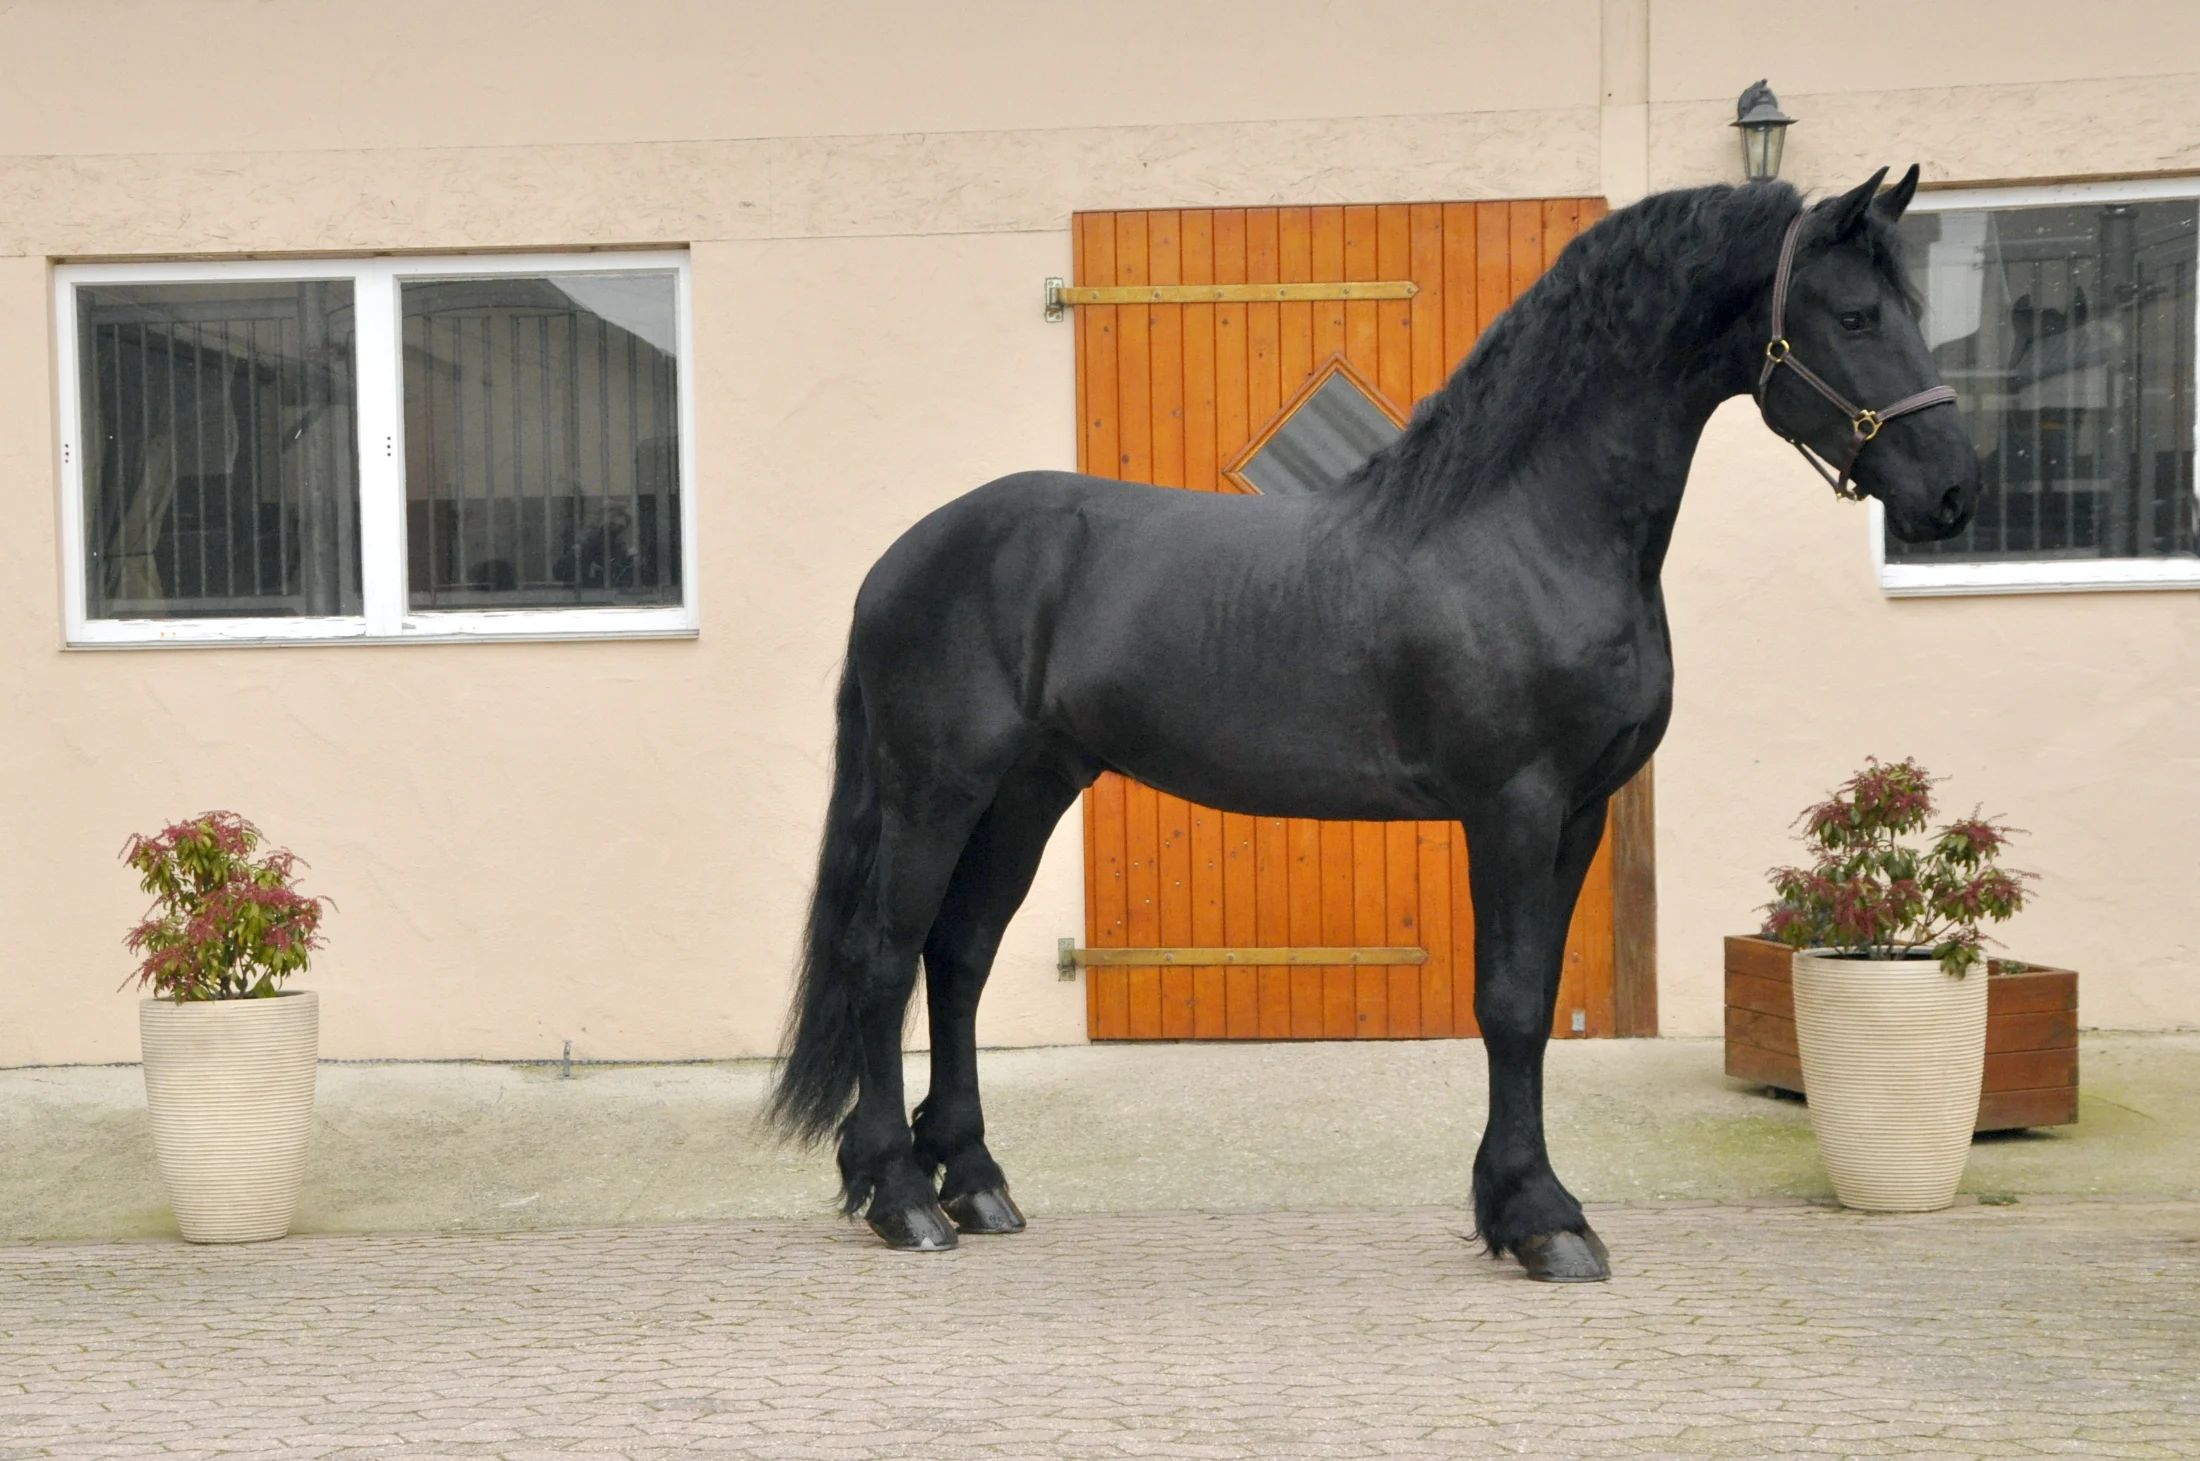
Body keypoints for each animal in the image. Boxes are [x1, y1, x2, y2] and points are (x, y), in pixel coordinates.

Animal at [769, 166, 1980, 1282]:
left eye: (1912, 305)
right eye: (1855, 316)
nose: (1956, 493)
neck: (1529, 525)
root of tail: (900, 558)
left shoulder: (1579, 812)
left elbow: (1537, 994)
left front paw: (1513, 1205)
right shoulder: (1512, 807)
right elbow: (1508, 1005)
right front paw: (1541, 1219)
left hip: (1028, 789)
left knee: (960, 955)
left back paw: (973, 1182)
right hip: (937, 787)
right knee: (886, 956)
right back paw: (900, 1196)